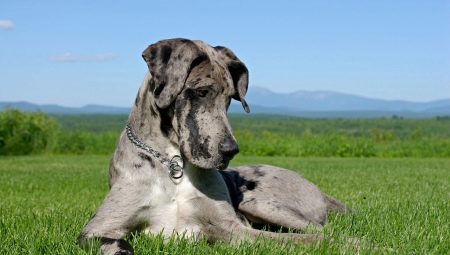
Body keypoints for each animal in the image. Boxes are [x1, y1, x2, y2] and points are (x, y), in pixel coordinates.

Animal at [78, 38, 344, 255]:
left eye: (230, 99)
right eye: (202, 92)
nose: (231, 151)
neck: (173, 164)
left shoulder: (234, 229)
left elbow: (303, 239)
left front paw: (348, 244)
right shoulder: (97, 228)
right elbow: (111, 241)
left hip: (258, 203)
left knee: (320, 229)